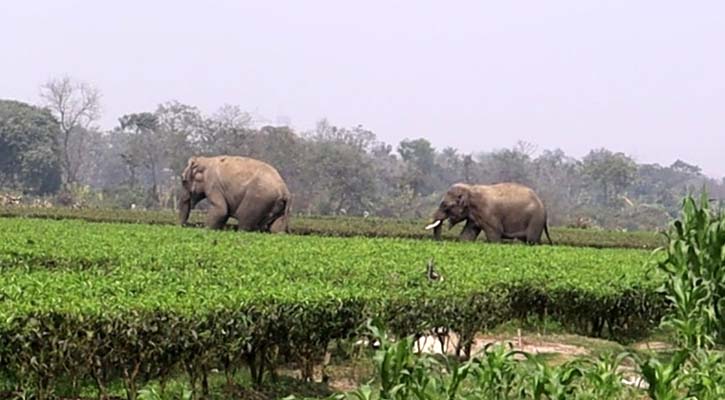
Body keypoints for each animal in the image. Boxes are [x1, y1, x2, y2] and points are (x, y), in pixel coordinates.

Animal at [422, 182, 552, 244]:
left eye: (445, 205)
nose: (441, 242)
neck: (470, 189)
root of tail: (544, 207)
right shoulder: (474, 216)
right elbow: (467, 235)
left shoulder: (488, 213)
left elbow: (495, 233)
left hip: (535, 220)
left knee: (532, 241)